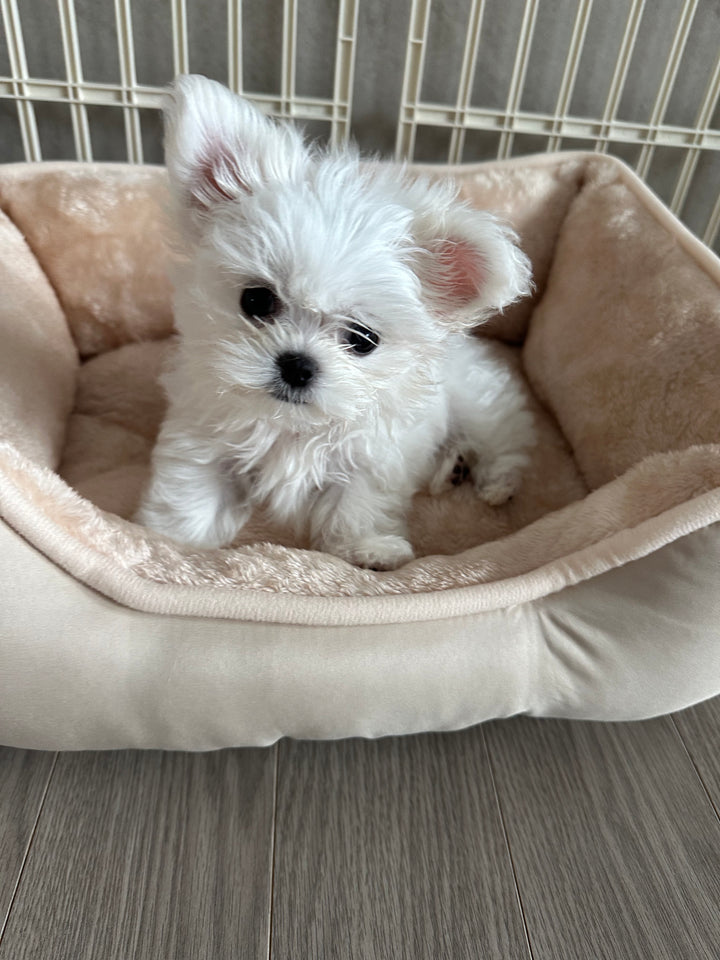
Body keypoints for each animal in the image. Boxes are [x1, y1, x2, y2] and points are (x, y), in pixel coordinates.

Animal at [141, 77, 536, 568]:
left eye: (362, 339)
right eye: (256, 300)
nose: (297, 364)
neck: (291, 425)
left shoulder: (370, 462)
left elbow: (357, 507)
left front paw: (366, 550)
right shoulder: (201, 441)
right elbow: (192, 493)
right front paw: (175, 544)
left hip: (481, 402)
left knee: (506, 442)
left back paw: (493, 482)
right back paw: (453, 468)